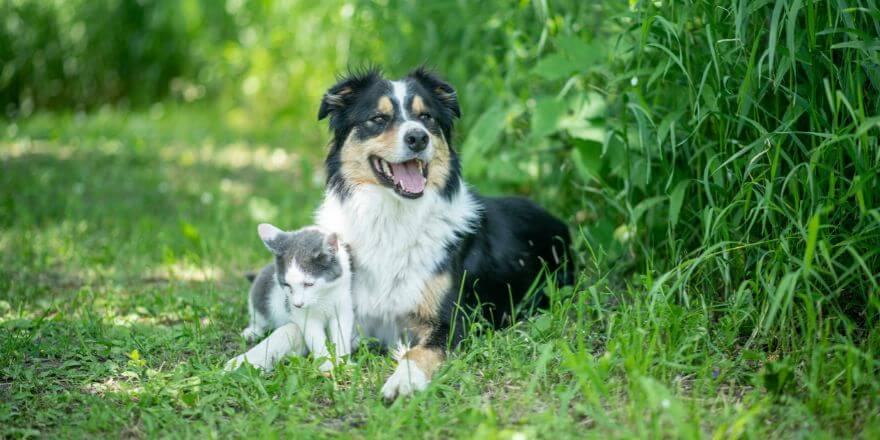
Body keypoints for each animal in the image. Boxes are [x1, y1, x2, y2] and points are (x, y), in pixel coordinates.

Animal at [223, 223, 354, 372]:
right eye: (286, 285)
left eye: (309, 284)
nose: (298, 304)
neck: (323, 296)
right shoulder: (304, 317)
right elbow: (315, 337)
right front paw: (326, 365)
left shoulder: (343, 306)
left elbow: (341, 334)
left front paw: (344, 363)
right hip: (260, 290)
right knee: (258, 315)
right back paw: (252, 332)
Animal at [312, 68, 576, 398]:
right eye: (378, 118)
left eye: (426, 117)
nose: (417, 137)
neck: (393, 219)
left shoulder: (454, 321)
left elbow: (417, 352)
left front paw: (403, 380)